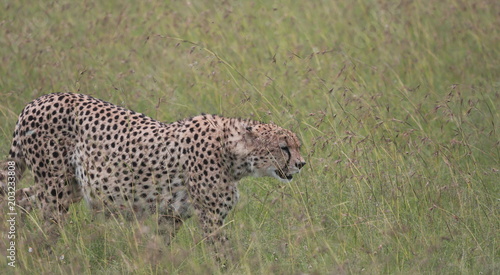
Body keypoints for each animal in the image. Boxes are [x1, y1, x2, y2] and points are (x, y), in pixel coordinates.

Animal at [0, 94, 306, 249]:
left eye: (297, 146)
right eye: (284, 148)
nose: (301, 164)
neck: (233, 154)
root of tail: (38, 100)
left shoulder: (172, 215)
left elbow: (160, 248)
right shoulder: (210, 218)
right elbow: (223, 253)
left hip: (69, 186)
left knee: (22, 198)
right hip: (58, 187)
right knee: (49, 222)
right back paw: (50, 254)